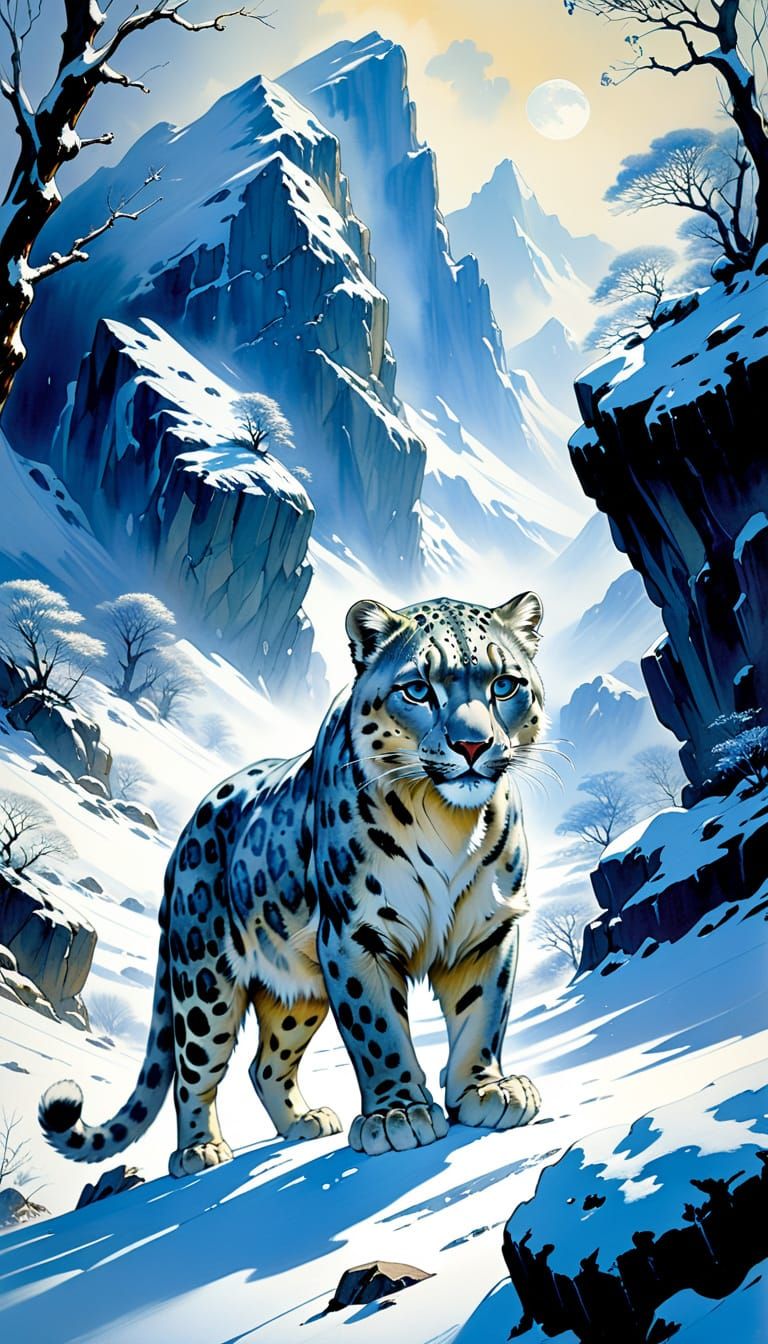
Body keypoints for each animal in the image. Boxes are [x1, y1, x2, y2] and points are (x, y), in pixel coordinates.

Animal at [40, 593, 544, 1175]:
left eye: (504, 684)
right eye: (418, 689)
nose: (472, 745)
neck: (449, 821)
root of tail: (183, 839)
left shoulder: (487, 929)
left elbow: (481, 1017)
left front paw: (485, 1091)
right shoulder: (355, 933)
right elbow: (377, 1030)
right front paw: (397, 1114)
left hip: (299, 991)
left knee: (266, 1062)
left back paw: (305, 1122)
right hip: (203, 983)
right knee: (194, 1070)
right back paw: (199, 1150)